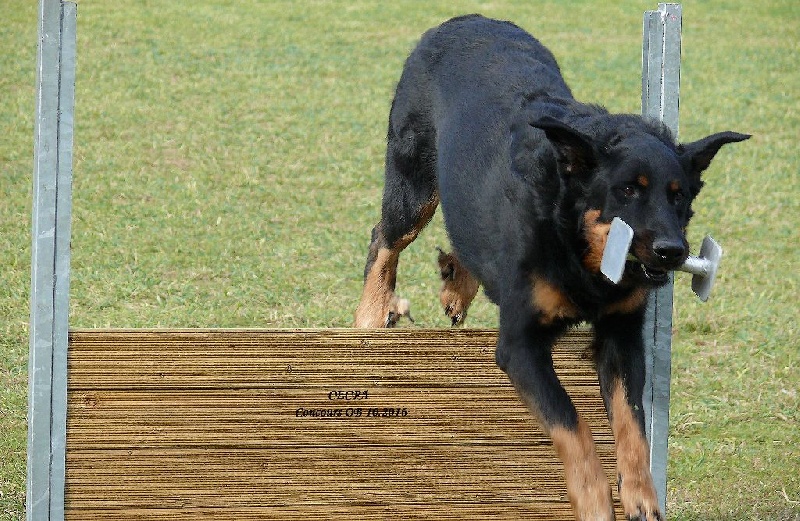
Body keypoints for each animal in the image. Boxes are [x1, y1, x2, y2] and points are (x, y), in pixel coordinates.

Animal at [354, 14, 748, 516]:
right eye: (627, 190)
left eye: (678, 197)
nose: (672, 251)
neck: (579, 250)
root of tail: (463, 19)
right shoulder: (520, 345)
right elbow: (571, 423)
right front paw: (595, 500)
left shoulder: (622, 335)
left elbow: (633, 422)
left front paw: (641, 496)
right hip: (414, 184)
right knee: (384, 238)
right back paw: (372, 311)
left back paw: (456, 284)